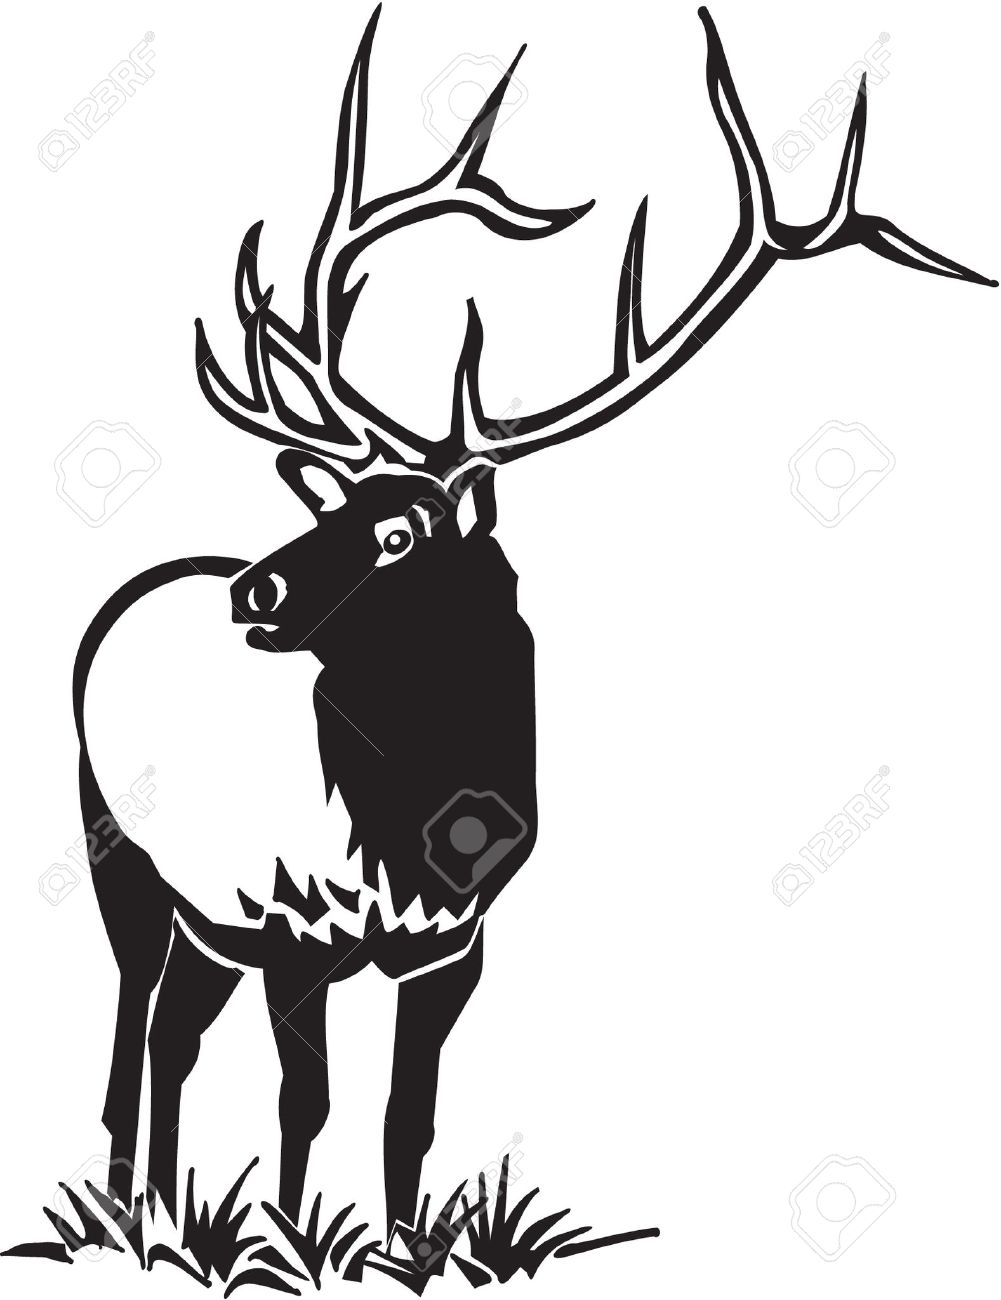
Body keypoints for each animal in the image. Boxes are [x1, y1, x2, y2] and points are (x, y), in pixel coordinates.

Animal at [73, 4, 994, 1247]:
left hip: (212, 918)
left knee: (177, 1031)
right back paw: (135, 1211)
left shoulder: (453, 942)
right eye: (325, 509)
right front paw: (291, 1247)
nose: (251, 591)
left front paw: (404, 1248)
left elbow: (407, 1112)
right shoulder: (295, 922)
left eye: (399, 530)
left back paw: (164, 1211)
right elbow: (306, 1103)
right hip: (121, 850)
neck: (419, 834)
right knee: (137, 1014)